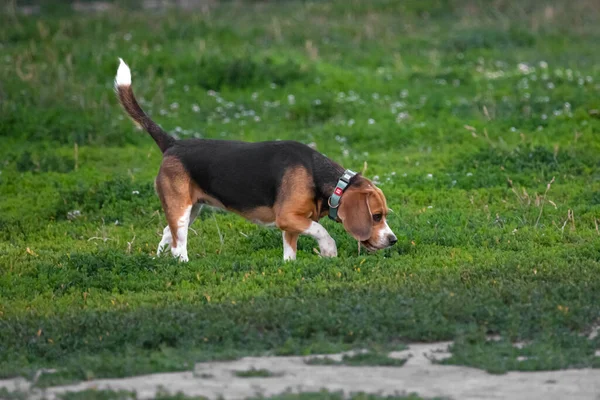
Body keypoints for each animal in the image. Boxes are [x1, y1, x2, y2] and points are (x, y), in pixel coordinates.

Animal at [114, 57, 396, 260]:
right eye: (376, 216)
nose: (393, 240)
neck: (324, 180)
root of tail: (172, 144)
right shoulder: (288, 217)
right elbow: (322, 231)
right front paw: (329, 251)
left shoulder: (292, 224)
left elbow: (290, 251)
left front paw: (289, 267)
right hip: (181, 208)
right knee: (178, 245)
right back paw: (182, 264)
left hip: (192, 208)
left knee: (167, 233)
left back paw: (160, 262)